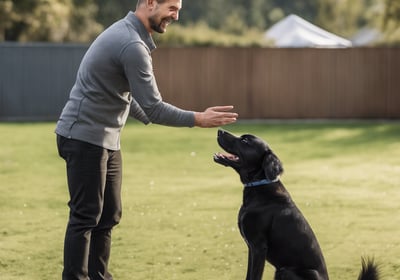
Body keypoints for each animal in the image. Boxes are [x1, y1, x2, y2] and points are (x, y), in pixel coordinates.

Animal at [212, 130, 378, 280]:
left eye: (245, 140)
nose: (219, 131)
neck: (260, 185)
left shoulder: (258, 246)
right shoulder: (252, 249)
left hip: (285, 271)